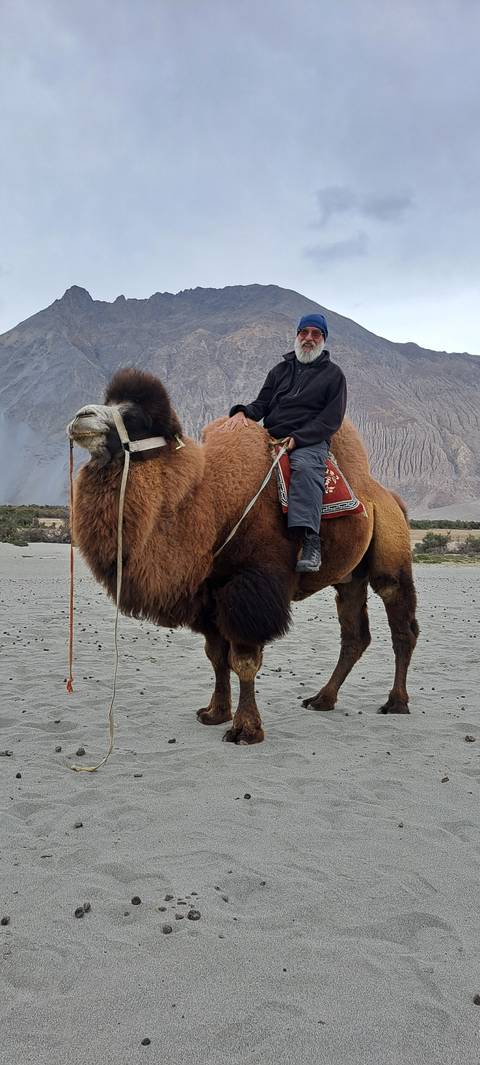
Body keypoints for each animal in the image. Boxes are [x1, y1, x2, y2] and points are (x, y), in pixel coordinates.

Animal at [68, 367, 419, 745]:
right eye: (108, 403)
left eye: (135, 418)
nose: (81, 417)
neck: (211, 504)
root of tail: (389, 497)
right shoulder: (208, 593)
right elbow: (216, 656)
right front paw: (214, 713)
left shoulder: (250, 586)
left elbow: (245, 659)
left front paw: (245, 729)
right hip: (349, 577)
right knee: (355, 636)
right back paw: (322, 699)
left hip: (391, 557)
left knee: (400, 623)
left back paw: (396, 702)